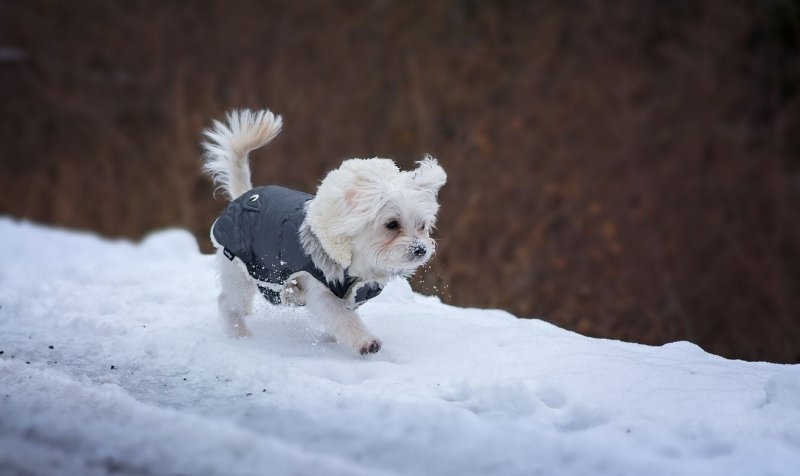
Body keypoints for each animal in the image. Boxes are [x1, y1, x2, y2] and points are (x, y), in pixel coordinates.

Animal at [200, 108, 446, 354]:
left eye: (422, 226)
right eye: (392, 224)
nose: (421, 249)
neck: (357, 261)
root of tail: (245, 195)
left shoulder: (352, 295)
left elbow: (340, 320)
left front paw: (333, 340)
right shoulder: (321, 290)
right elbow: (342, 318)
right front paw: (365, 341)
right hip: (239, 269)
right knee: (228, 303)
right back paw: (240, 334)